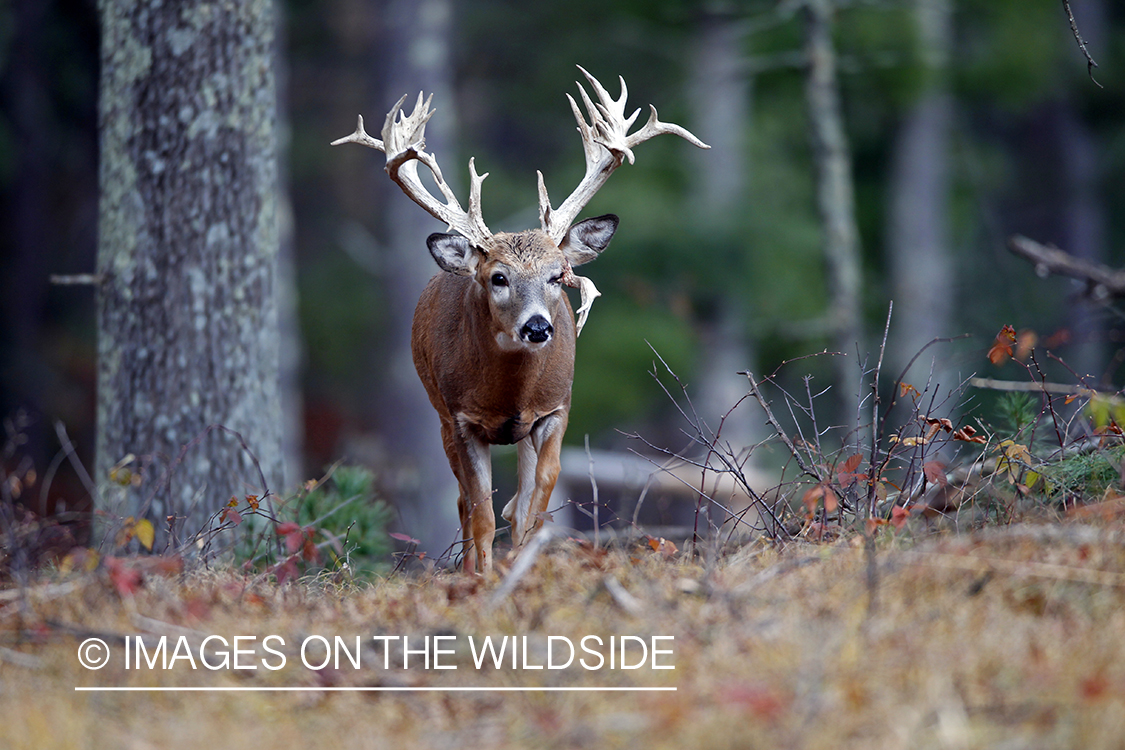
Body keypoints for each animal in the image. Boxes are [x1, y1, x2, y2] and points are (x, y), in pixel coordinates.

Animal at [328, 68, 706, 575]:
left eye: (558, 275)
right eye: (498, 277)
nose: (538, 328)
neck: (509, 395)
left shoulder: (555, 409)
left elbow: (535, 502)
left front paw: (522, 566)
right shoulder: (461, 419)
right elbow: (481, 510)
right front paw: (483, 577)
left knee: (514, 501)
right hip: (438, 412)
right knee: (464, 503)